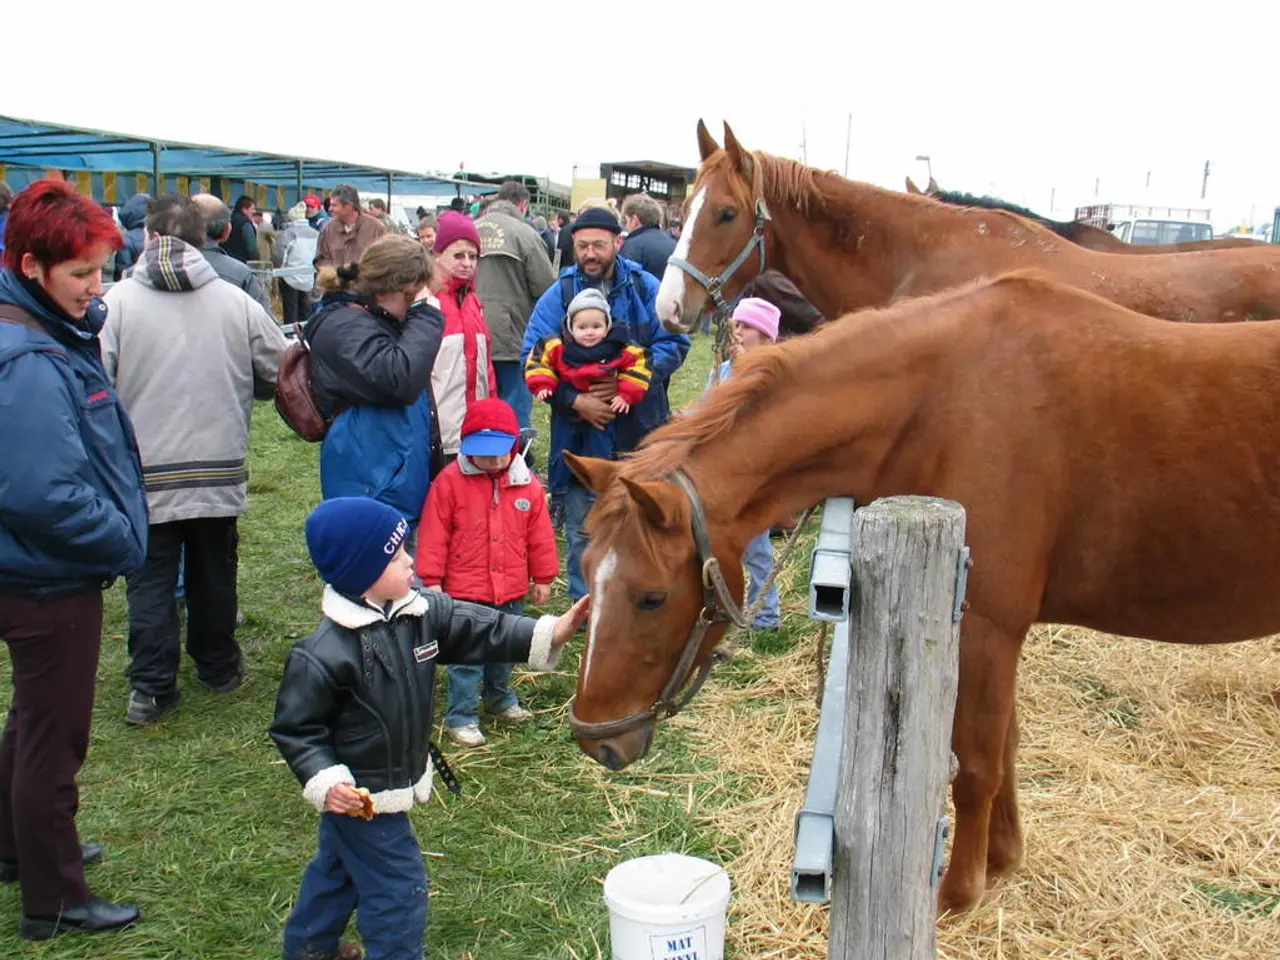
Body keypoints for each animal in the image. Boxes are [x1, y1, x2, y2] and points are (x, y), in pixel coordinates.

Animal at [565, 271, 1280, 915]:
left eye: (651, 597)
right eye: (589, 569)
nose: (596, 741)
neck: (942, 402)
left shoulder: (989, 626)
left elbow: (980, 763)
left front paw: (957, 896)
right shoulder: (986, 631)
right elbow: (1006, 747)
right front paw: (1003, 860)